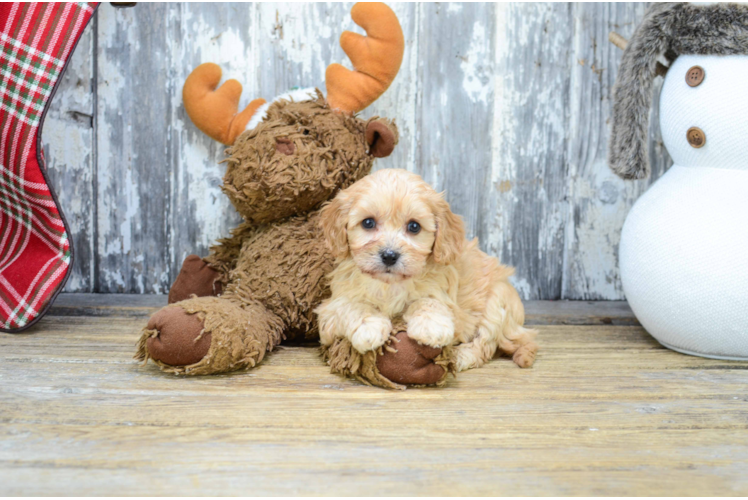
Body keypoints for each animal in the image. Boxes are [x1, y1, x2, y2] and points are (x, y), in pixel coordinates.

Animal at [314, 170, 536, 370]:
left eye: (414, 227)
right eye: (368, 222)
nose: (389, 255)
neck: (390, 285)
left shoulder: (449, 302)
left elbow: (428, 301)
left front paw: (431, 327)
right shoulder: (329, 312)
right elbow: (351, 306)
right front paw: (369, 326)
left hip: (498, 302)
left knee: (486, 344)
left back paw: (460, 356)